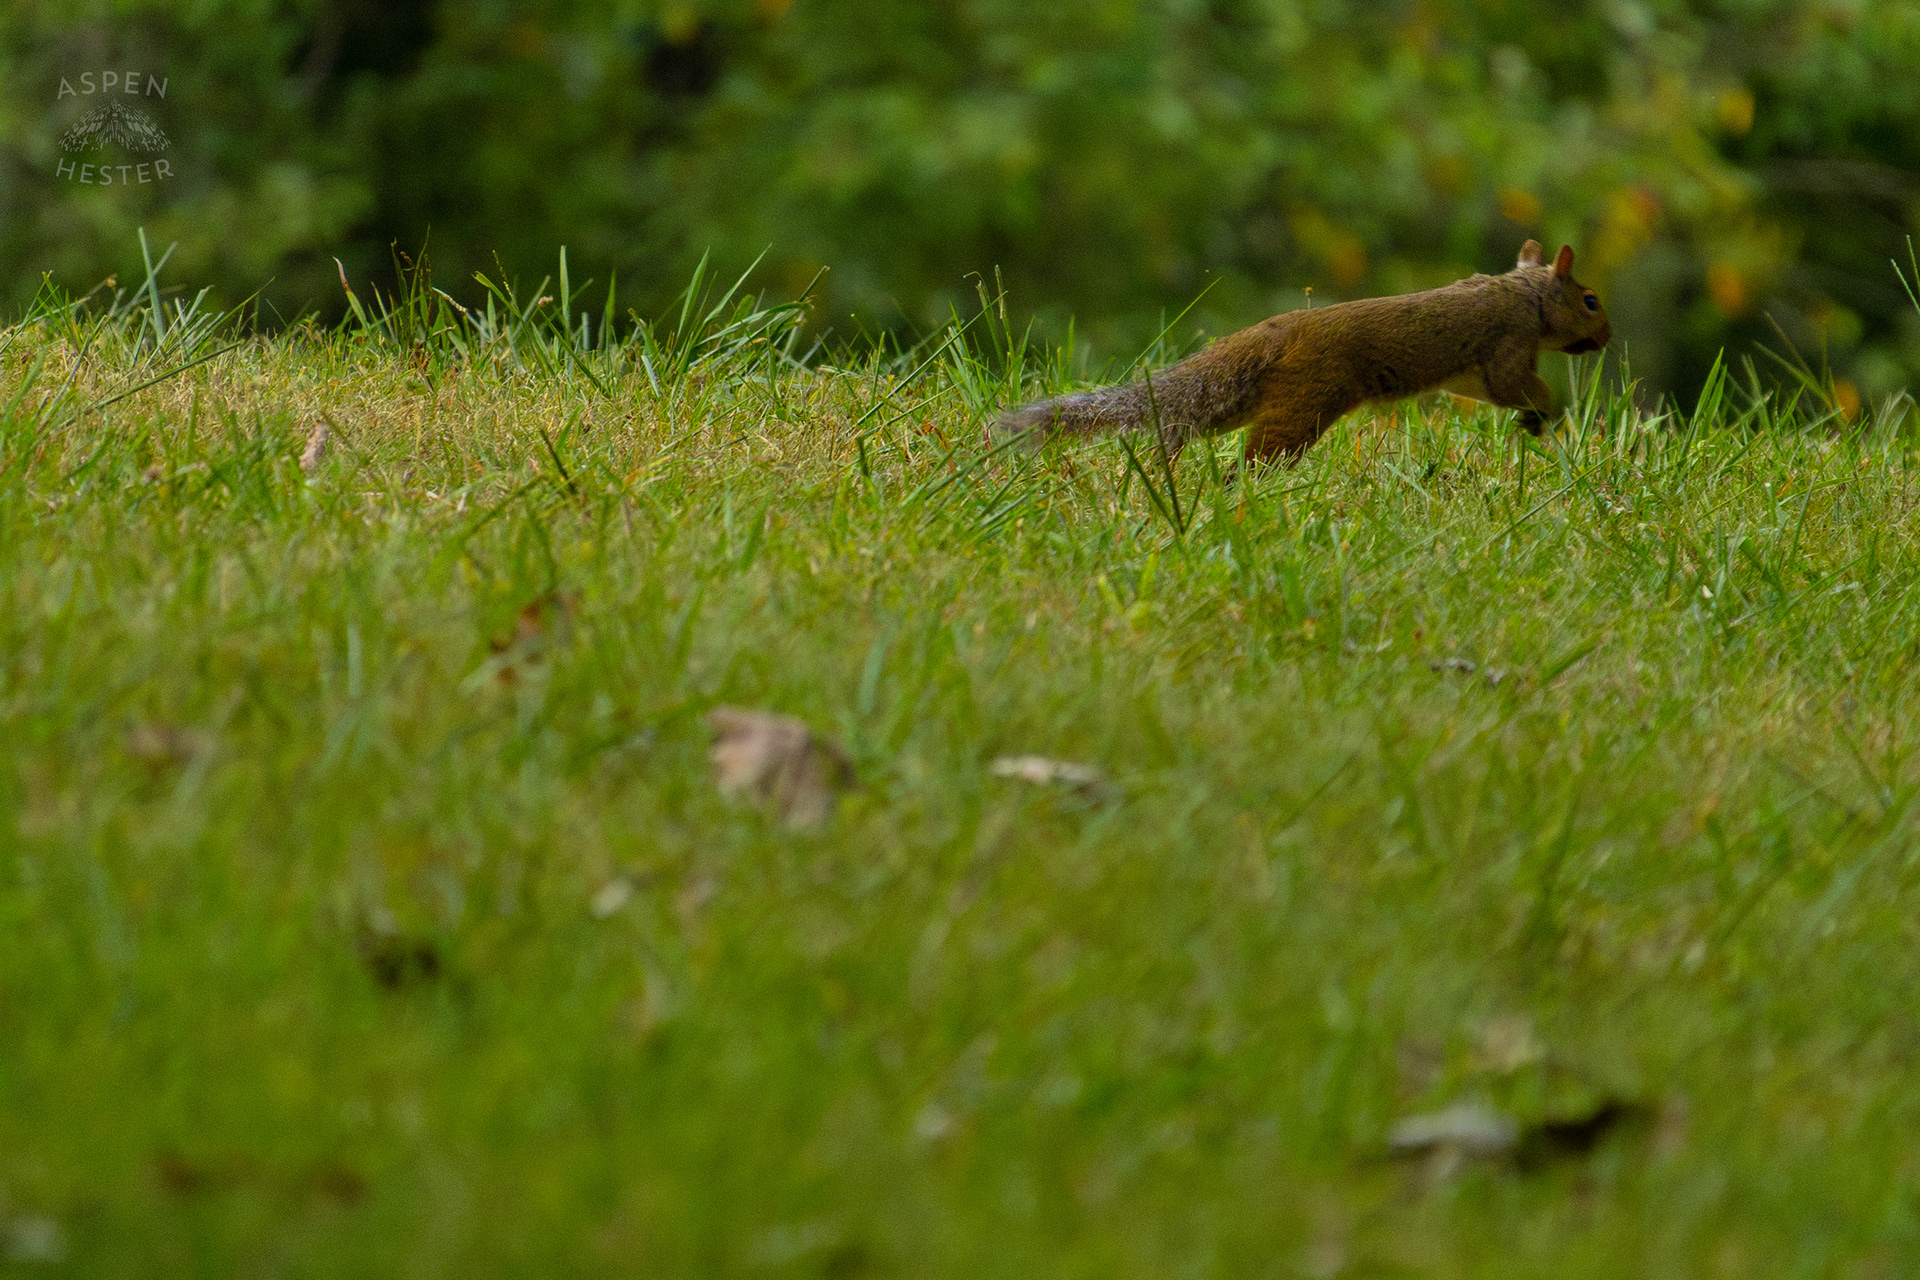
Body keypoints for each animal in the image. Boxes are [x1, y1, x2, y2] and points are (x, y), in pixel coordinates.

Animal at [997, 240, 1612, 465]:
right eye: (1590, 300)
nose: (1606, 338)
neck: (1525, 293)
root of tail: (1274, 334)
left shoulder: (1469, 375)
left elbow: (1488, 392)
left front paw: (1531, 421)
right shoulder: (1507, 343)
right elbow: (1518, 385)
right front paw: (1544, 410)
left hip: (1238, 403)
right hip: (1304, 406)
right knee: (1257, 456)